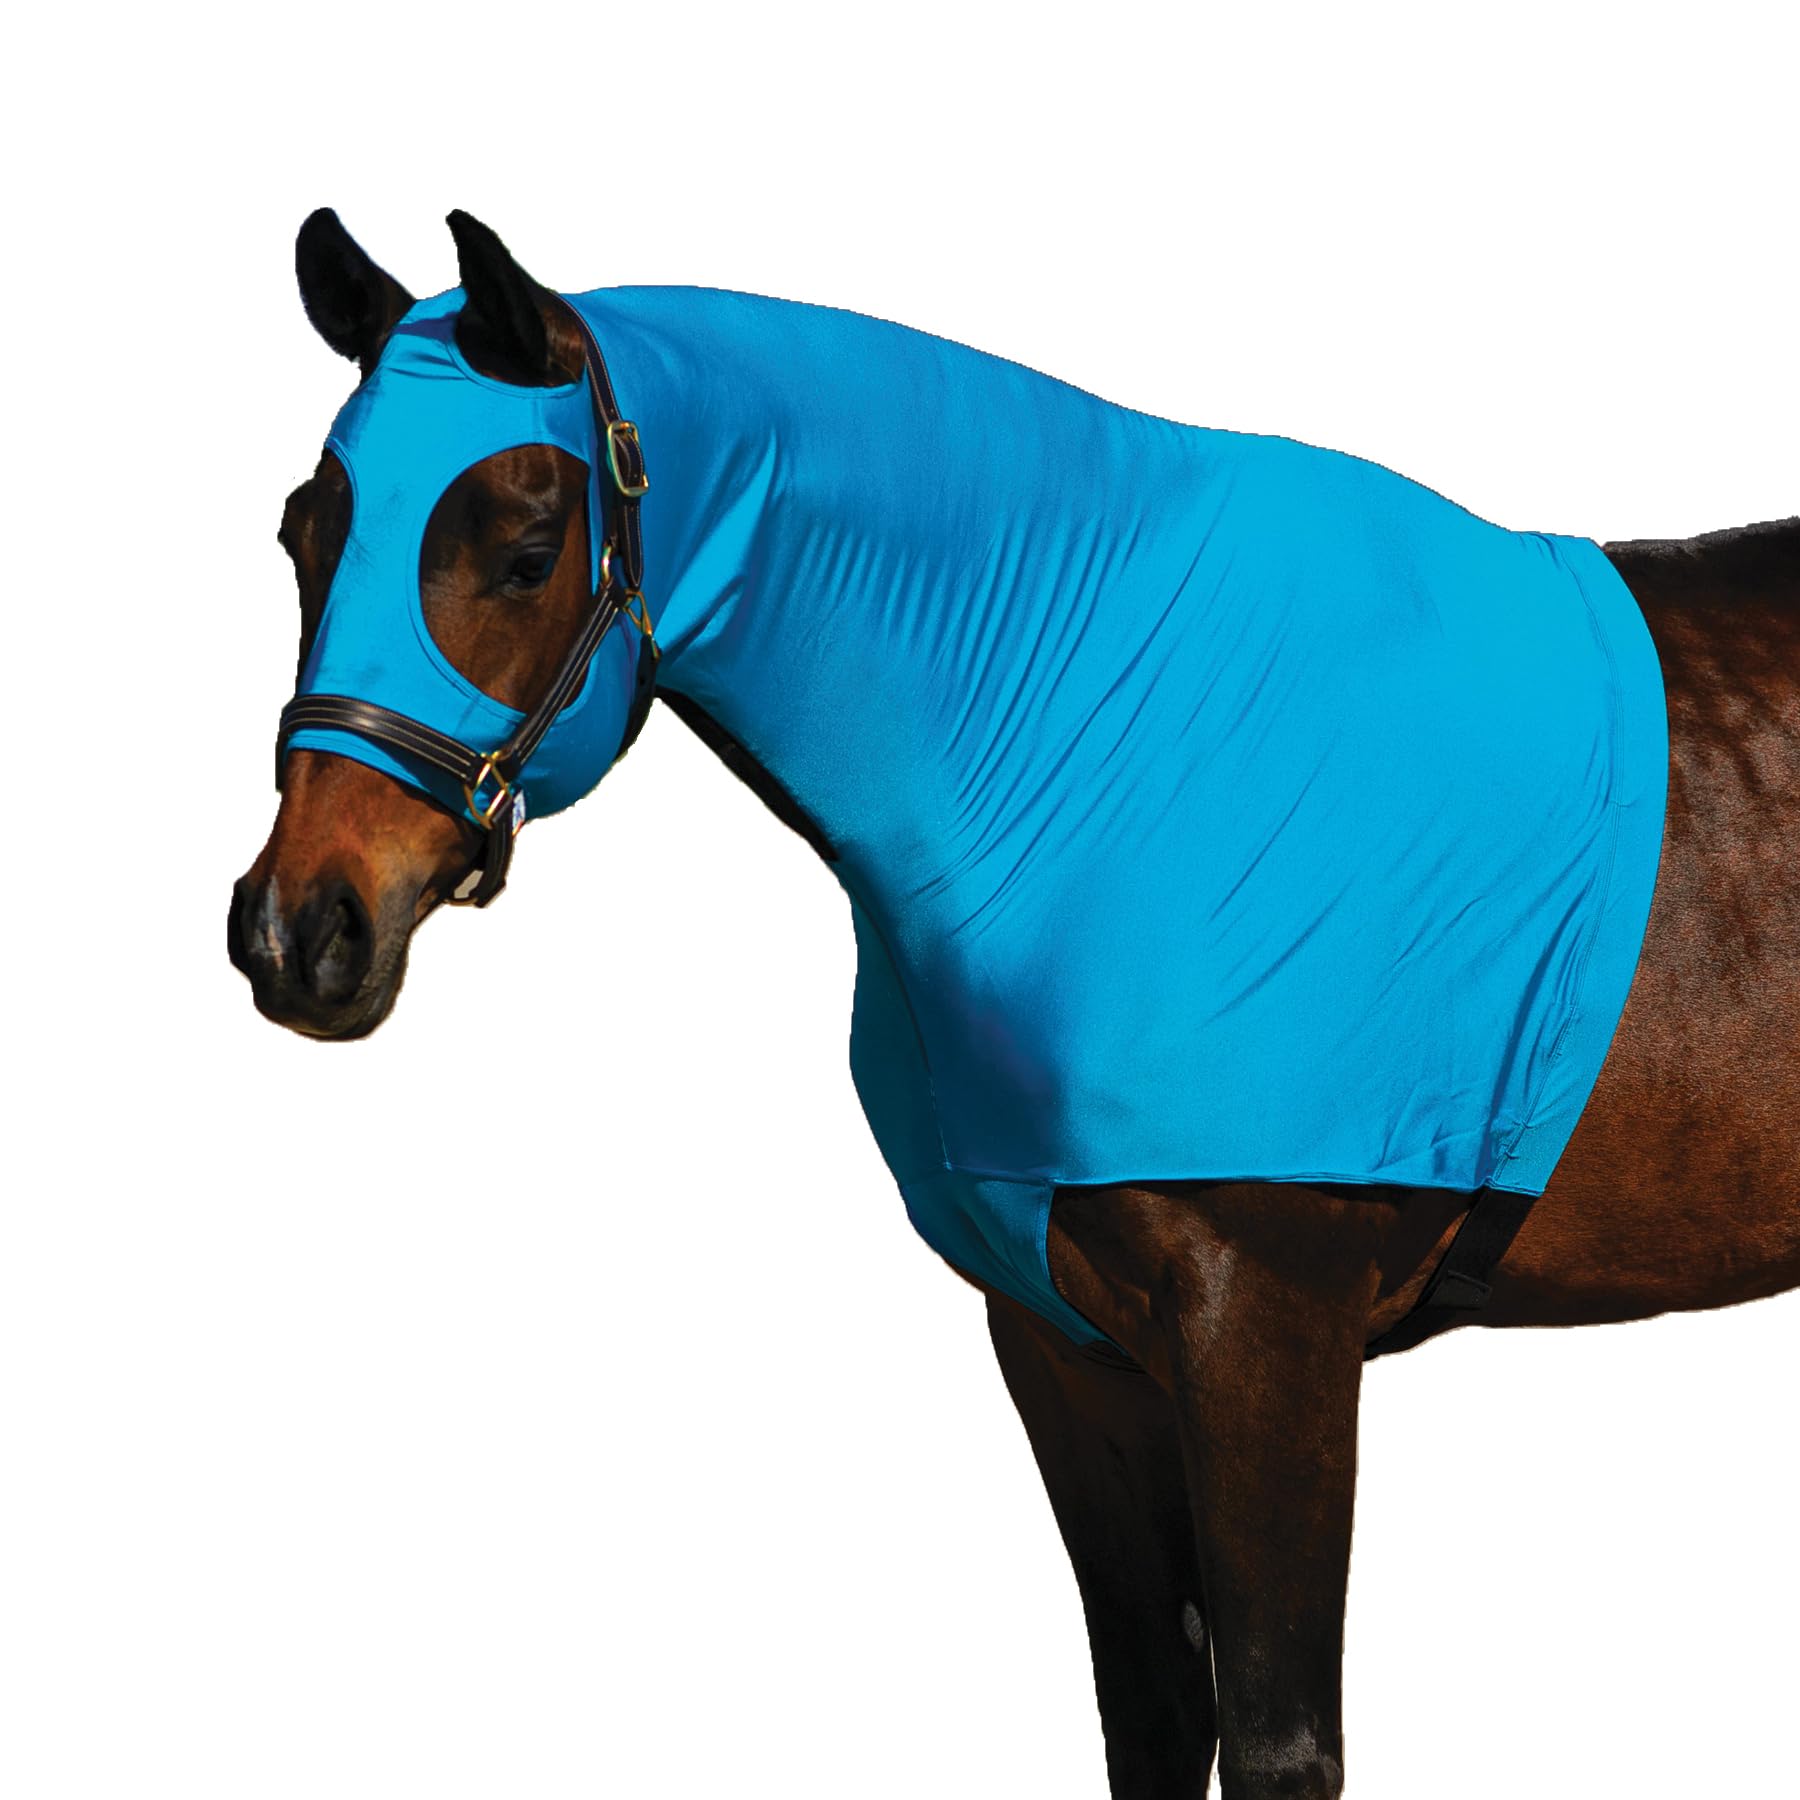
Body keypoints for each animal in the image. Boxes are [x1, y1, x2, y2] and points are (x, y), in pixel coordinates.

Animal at [229, 209, 1799, 1800]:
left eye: (527, 552)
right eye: (304, 536)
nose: (299, 931)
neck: (1110, 744)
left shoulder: (1267, 1337)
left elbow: (1279, 1742)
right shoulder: (1067, 1351)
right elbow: (1153, 1720)